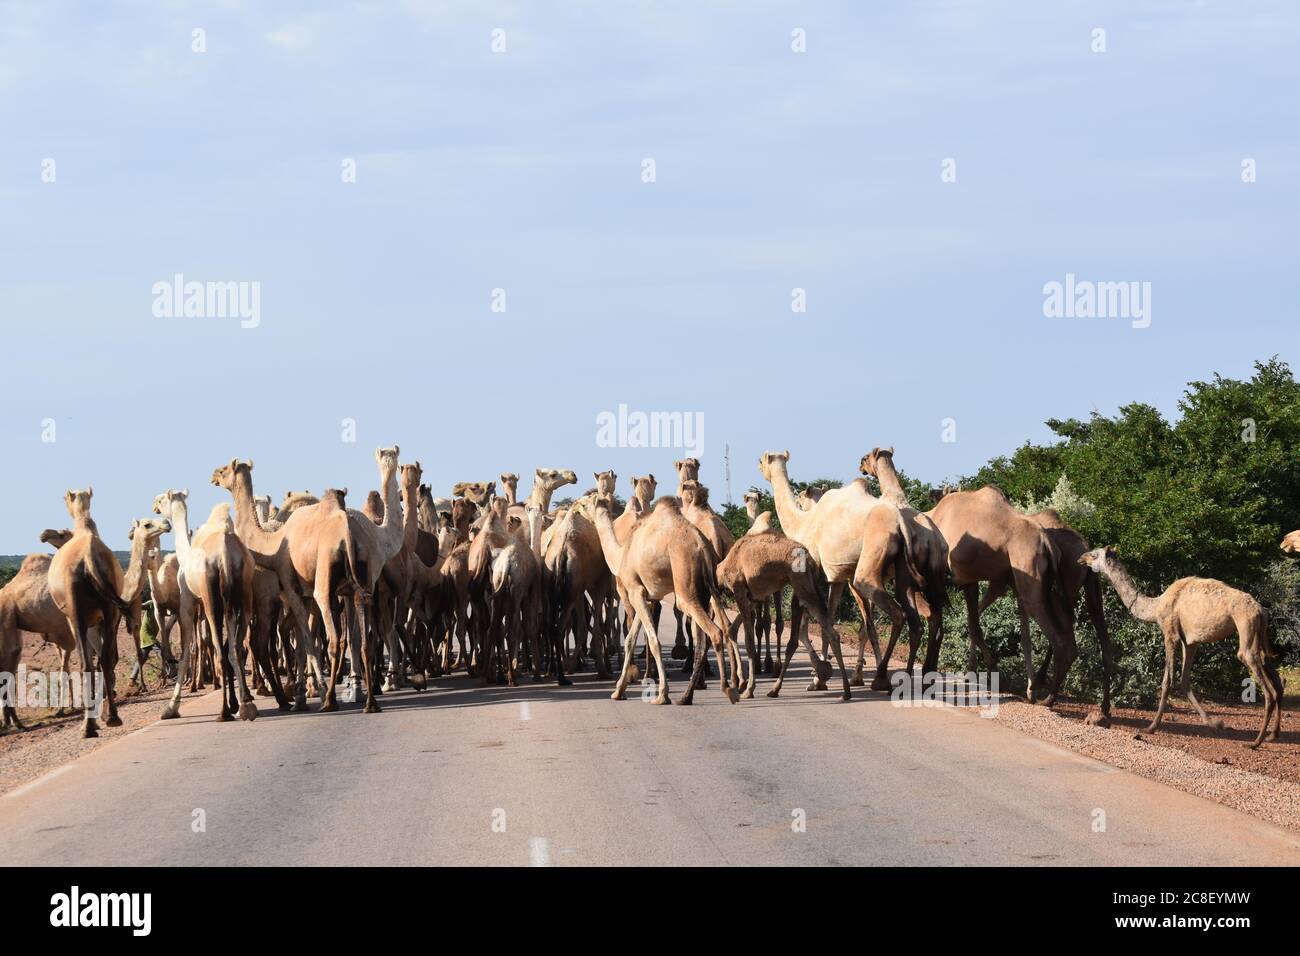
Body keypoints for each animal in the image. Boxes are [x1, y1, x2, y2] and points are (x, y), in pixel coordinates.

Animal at [47, 489, 133, 738]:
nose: (44, 534)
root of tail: (89, 559)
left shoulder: (75, 618)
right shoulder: (105, 617)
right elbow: (106, 659)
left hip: (79, 616)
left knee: (88, 663)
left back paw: (90, 725)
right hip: (110, 611)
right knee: (104, 660)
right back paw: (110, 718)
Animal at [153, 496, 260, 723]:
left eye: (162, 499)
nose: (155, 507)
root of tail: (225, 553)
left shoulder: (188, 601)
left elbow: (186, 651)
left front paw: (171, 708)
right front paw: (239, 701)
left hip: (211, 599)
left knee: (221, 650)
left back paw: (224, 712)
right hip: (243, 591)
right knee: (235, 648)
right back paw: (246, 704)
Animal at [592, 496, 738, 707]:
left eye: (585, 502)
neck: (621, 555)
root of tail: (703, 547)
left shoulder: (635, 591)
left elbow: (654, 641)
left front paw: (662, 695)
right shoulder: (646, 596)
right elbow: (630, 640)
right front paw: (618, 691)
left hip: (685, 586)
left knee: (714, 632)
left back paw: (725, 689)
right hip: (708, 588)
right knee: (715, 632)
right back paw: (692, 695)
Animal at [1076, 546, 1279, 749]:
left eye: (1094, 554)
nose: (1081, 558)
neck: (1155, 606)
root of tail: (1261, 611)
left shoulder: (1170, 633)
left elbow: (1167, 681)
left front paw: (1151, 727)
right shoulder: (1189, 642)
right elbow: (1184, 680)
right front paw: (1216, 723)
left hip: (1245, 627)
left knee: (1264, 684)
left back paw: (1256, 742)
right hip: (1259, 635)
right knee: (1273, 676)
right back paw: (1272, 735)